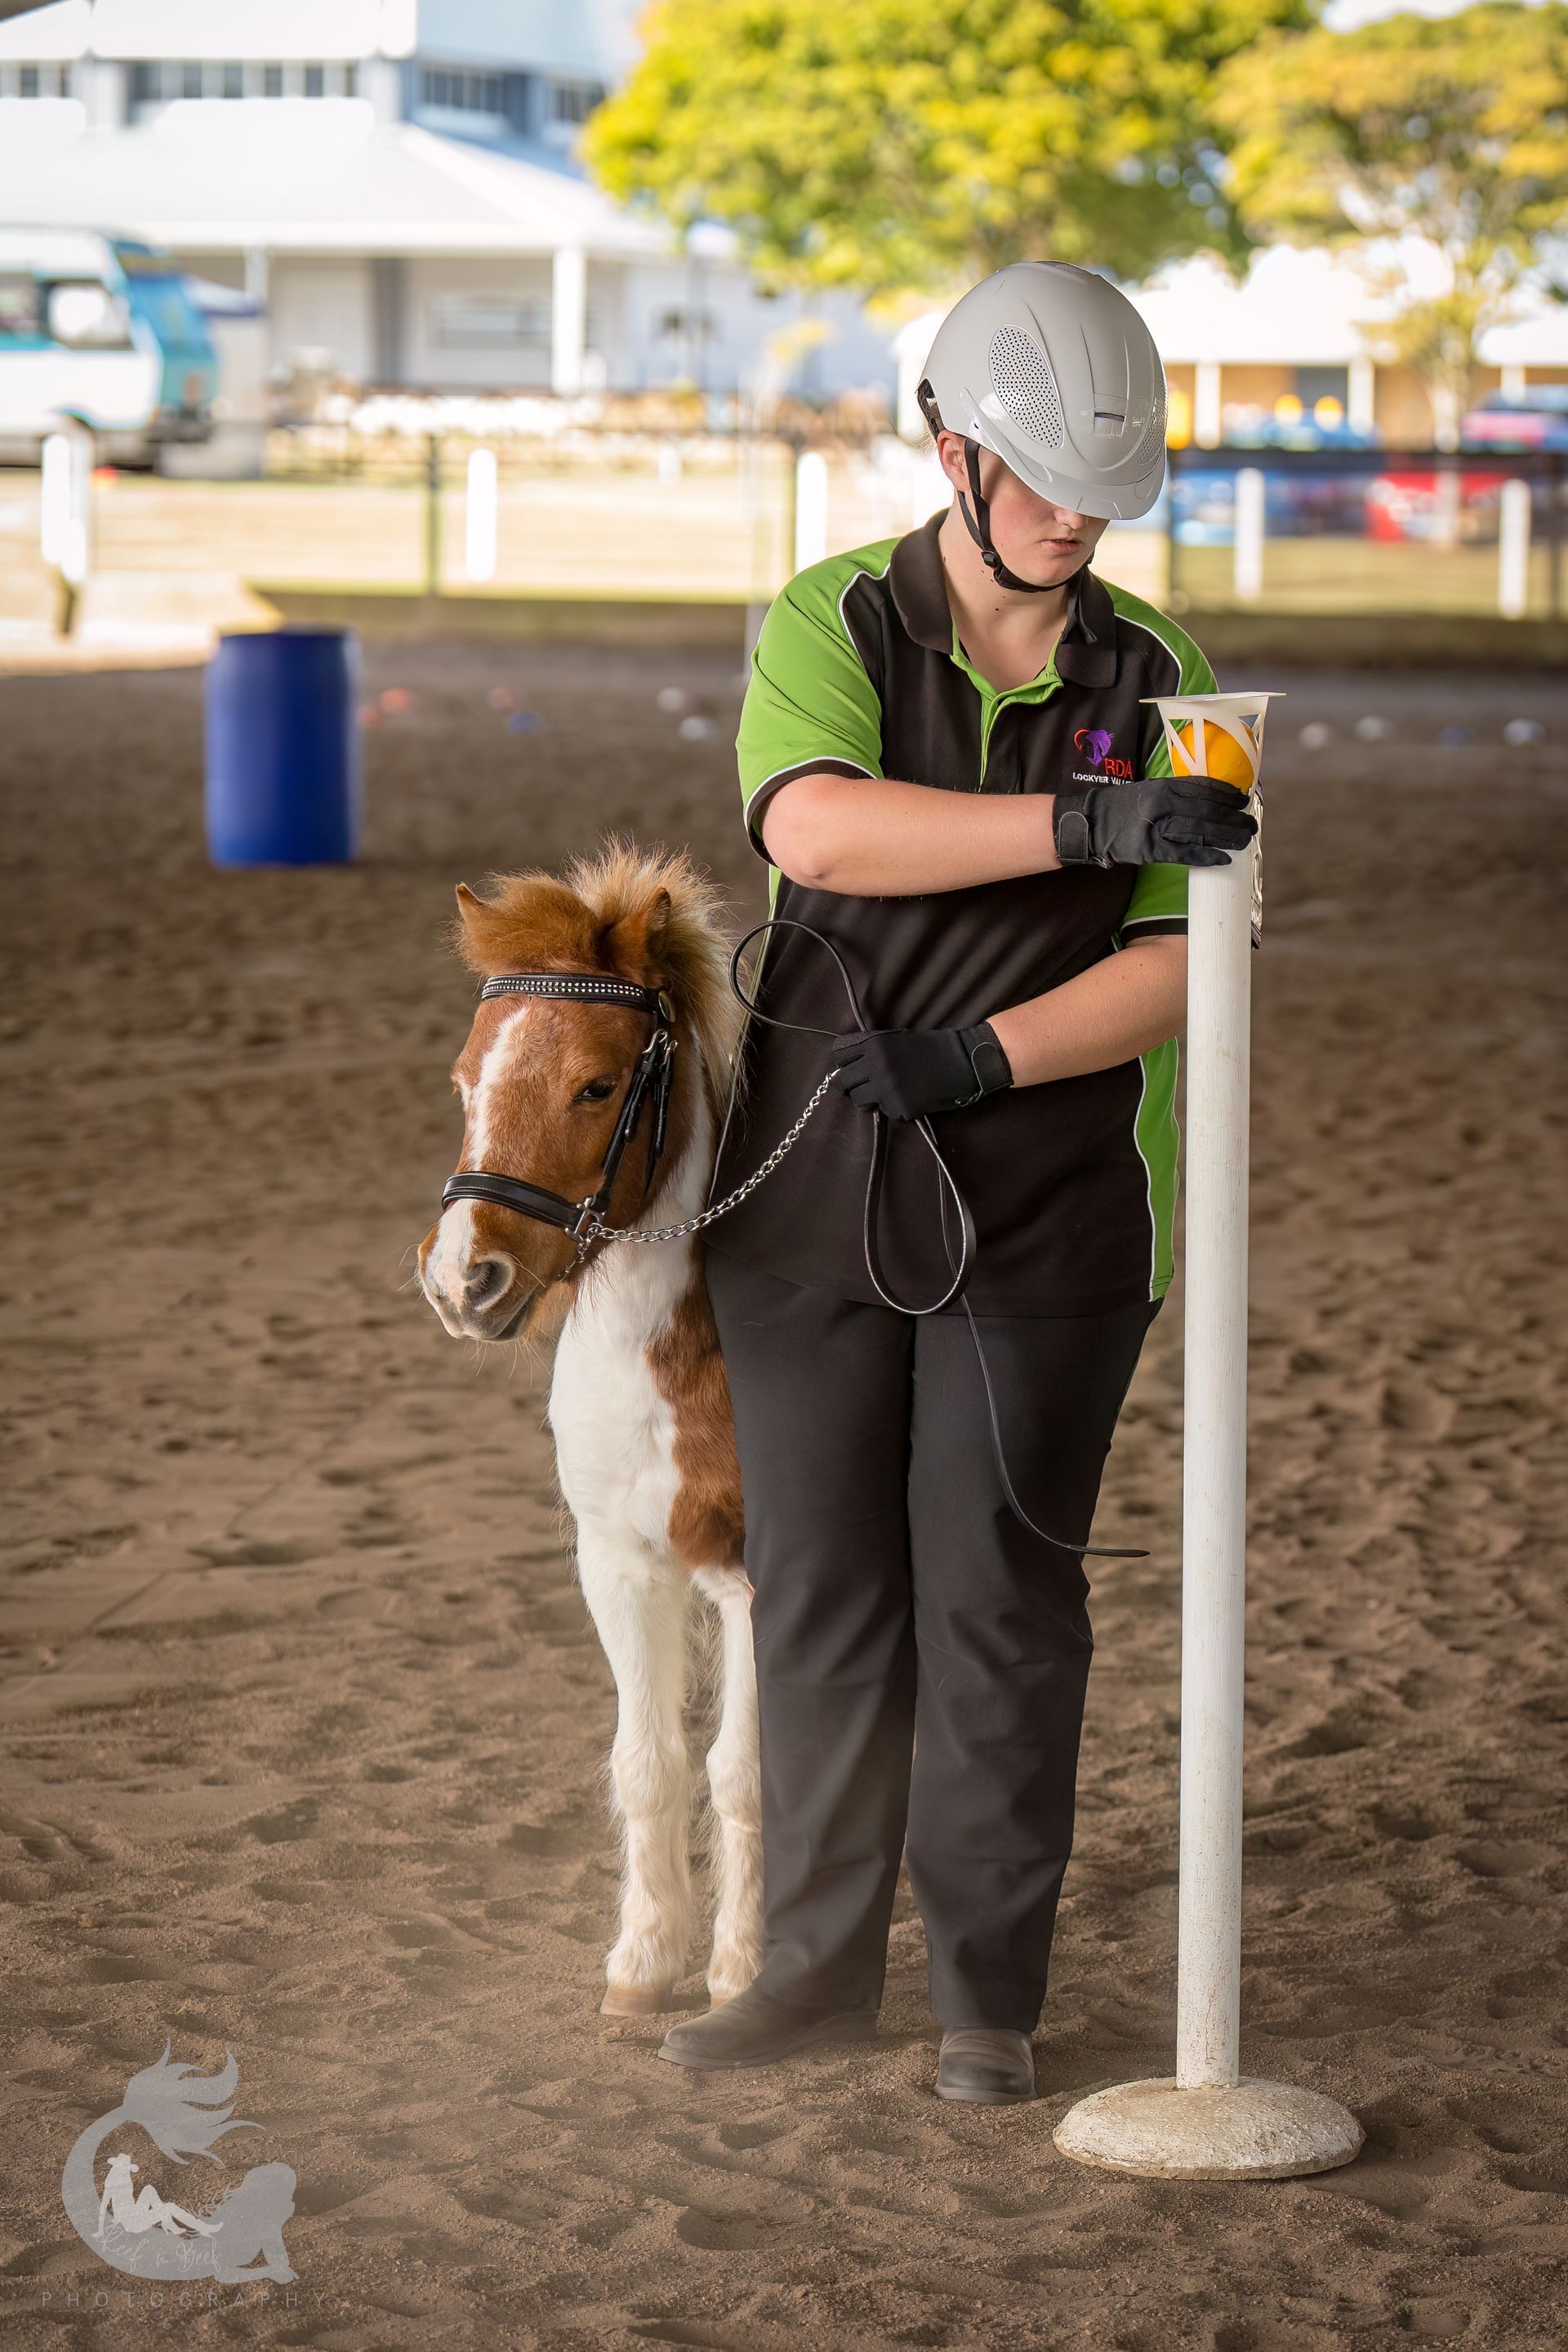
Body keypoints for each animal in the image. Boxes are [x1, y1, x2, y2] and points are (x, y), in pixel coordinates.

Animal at [418, 843, 761, 2019]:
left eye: (598, 1086)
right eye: (465, 1080)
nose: (462, 1281)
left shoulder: (758, 1581)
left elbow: (741, 1773)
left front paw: (742, 1974)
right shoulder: (616, 1564)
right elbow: (647, 1765)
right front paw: (645, 1965)